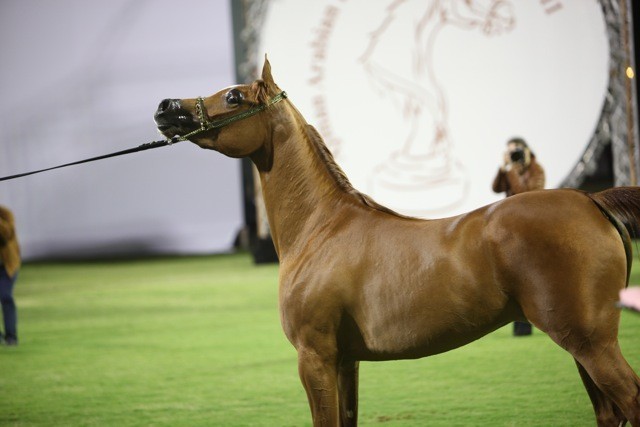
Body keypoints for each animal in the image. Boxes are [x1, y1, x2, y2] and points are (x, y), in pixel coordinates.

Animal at [154, 58, 640, 426]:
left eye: (234, 97)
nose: (166, 107)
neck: (321, 228)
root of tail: (591, 199)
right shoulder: (345, 361)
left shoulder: (314, 356)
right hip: (578, 345)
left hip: (591, 341)